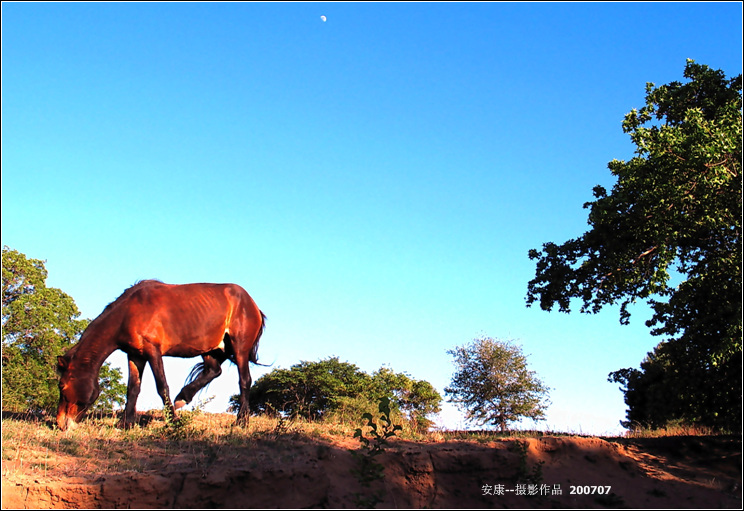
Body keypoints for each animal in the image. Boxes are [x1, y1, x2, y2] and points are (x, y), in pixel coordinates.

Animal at [58, 280, 268, 432]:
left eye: (61, 386)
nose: (60, 423)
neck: (128, 313)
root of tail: (253, 305)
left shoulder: (153, 351)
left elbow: (162, 387)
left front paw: (173, 421)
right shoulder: (135, 355)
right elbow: (133, 388)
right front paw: (125, 423)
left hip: (239, 349)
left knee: (244, 380)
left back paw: (241, 421)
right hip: (211, 350)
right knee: (214, 371)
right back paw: (183, 397)